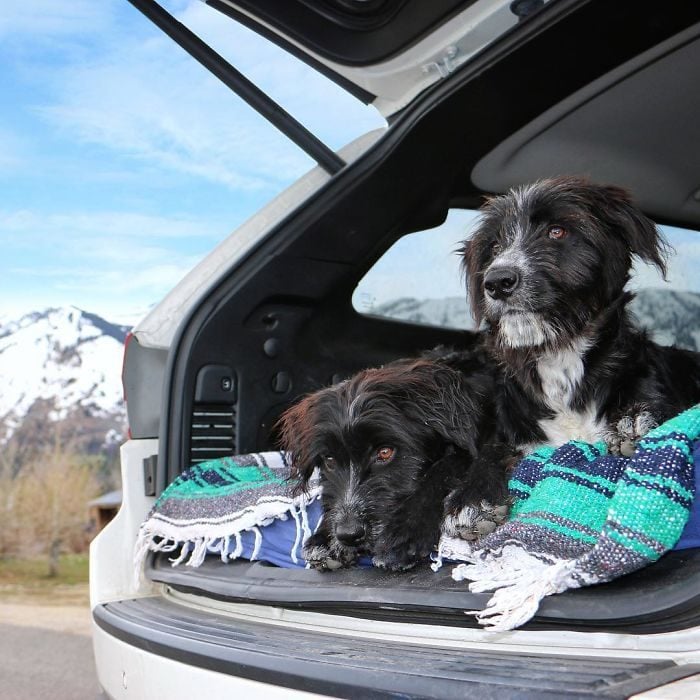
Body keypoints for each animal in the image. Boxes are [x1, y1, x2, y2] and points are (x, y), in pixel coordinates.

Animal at [276, 352, 512, 572]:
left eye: (385, 452)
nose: (349, 534)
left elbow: (445, 468)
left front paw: (404, 533)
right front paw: (324, 538)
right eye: (330, 460)